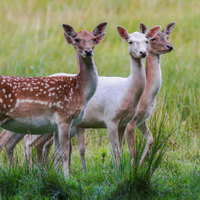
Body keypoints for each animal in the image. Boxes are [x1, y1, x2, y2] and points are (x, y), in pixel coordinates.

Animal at [0, 21, 108, 177]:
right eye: (77, 39)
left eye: (94, 39)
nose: (88, 51)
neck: (79, 90)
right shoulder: (64, 118)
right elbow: (65, 153)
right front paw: (67, 178)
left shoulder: (57, 125)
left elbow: (57, 154)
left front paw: (57, 177)